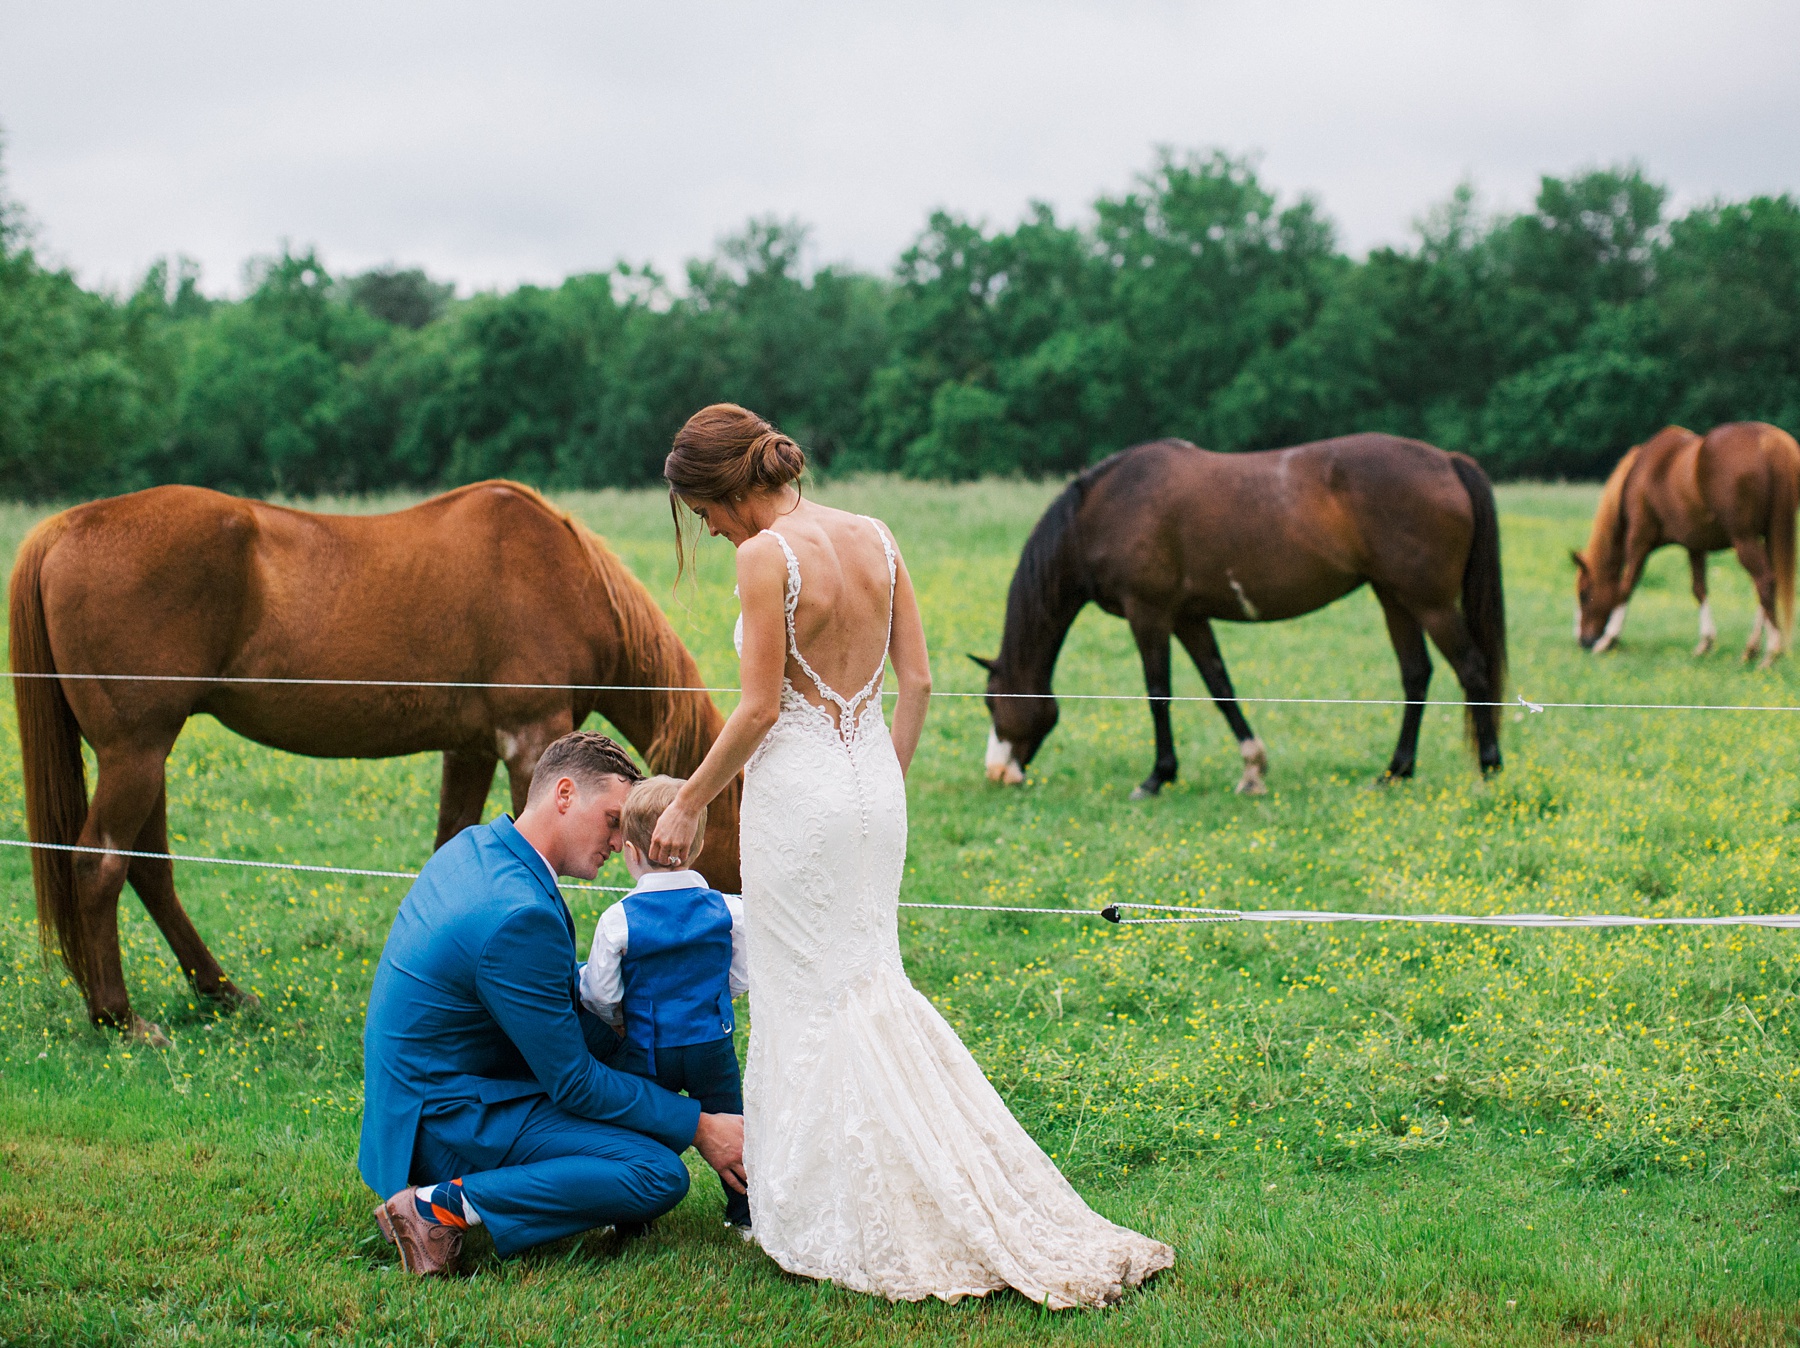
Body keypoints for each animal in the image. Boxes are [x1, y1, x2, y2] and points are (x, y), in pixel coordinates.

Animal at [7, 482, 738, 1043]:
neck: (561, 575)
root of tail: (64, 527)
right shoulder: (529, 740)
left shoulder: (470, 748)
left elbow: (451, 847)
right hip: (134, 752)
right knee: (99, 865)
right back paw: (119, 1018)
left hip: (144, 753)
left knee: (149, 869)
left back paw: (222, 992)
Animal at [972, 439, 1504, 799]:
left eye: (992, 702)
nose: (997, 773)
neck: (1101, 512)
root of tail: (1447, 461)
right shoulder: (1188, 617)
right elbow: (1220, 688)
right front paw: (1253, 770)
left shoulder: (1149, 613)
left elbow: (1157, 694)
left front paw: (1157, 777)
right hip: (1394, 598)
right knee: (1416, 676)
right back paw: (1396, 771)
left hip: (1430, 603)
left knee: (1472, 670)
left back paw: (1489, 769)